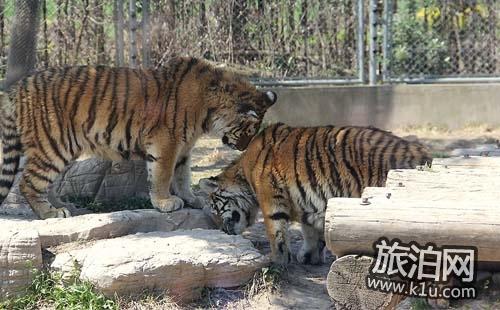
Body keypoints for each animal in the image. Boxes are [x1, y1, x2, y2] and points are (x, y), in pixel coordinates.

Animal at [0, 57, 276, 219]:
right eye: (250, 130)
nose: (243, 148)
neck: (209, 110)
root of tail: (18, 87)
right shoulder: (167, 142)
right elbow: (163, 175)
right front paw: (165, 203)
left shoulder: (184, 148)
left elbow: (182, 175)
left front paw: (191, 199)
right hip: (53, 145)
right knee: (28, 183)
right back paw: (52, 213)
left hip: (61, 148)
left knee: (47, 183)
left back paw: (66, 206)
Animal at [199, 123, 434, 266]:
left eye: (215, 209)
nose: (223, 231)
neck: (244, 178)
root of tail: (423, 153)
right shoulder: (310, 205)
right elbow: (311, 232)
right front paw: (309, 256)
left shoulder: (272, 200)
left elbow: (276, 233)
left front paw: (276, 260)